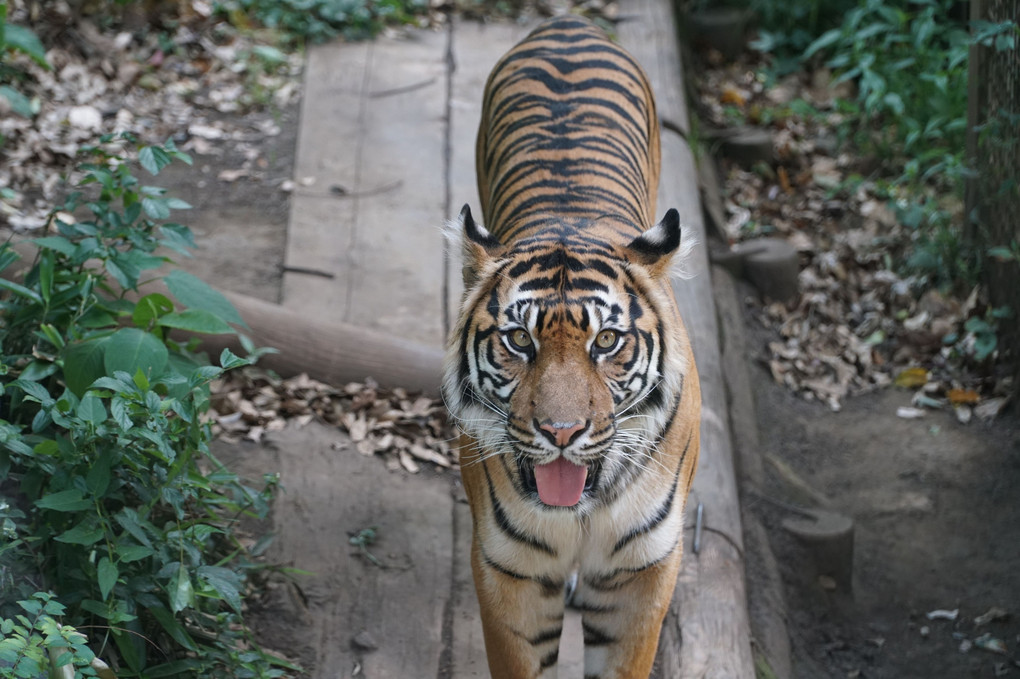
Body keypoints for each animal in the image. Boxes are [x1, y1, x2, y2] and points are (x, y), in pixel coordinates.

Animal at [446, 14, 701, 676]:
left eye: (607, 341)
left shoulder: (643, 571)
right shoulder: (509, 570)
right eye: (518, 340)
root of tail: (567, 22)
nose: (562, 434)